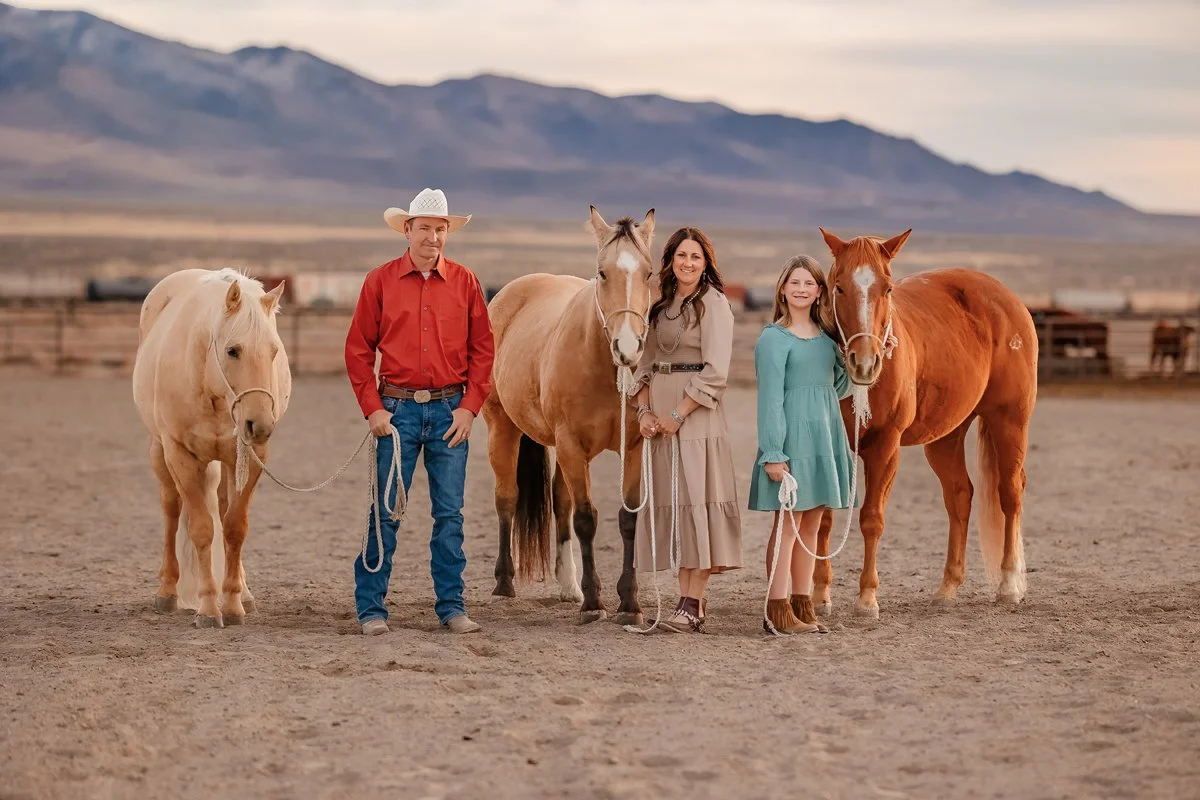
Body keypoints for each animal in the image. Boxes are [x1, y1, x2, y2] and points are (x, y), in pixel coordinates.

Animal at [132, 267, 291, 627]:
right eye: (233, 350)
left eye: (274, 351)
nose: (261, 425)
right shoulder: (180, 455)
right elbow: (202, 529)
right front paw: (207, 608)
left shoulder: (251, 458)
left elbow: (234, 528)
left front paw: (232, 604)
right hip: (159, 454)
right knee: (172, 510)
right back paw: (167, 592)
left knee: (223, 508)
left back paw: (244, 593)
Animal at [483, 206, 655, 625]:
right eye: (602, 272)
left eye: (649, 273)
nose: (628, 346)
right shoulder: (572, 444)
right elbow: (586, 519)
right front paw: (594, 603)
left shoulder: (633, 447)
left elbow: (627, 519)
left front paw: (629, 604)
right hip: (504, 430)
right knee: (507, 499)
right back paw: (504, 584)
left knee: (560, 501)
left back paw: (568, 587)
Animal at [811, 228, 1038, 619]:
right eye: (838, 287)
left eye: (887, 288)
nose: (864, 363)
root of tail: (1007, 299)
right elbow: (823, 520)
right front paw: (819, 596)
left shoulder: (885, 446)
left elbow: (872, 518)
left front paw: (867, 599)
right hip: (945, 436)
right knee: (960, 496)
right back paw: (947, 588)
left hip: (1010, 421)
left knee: (1010, 494)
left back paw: (1009, 586)